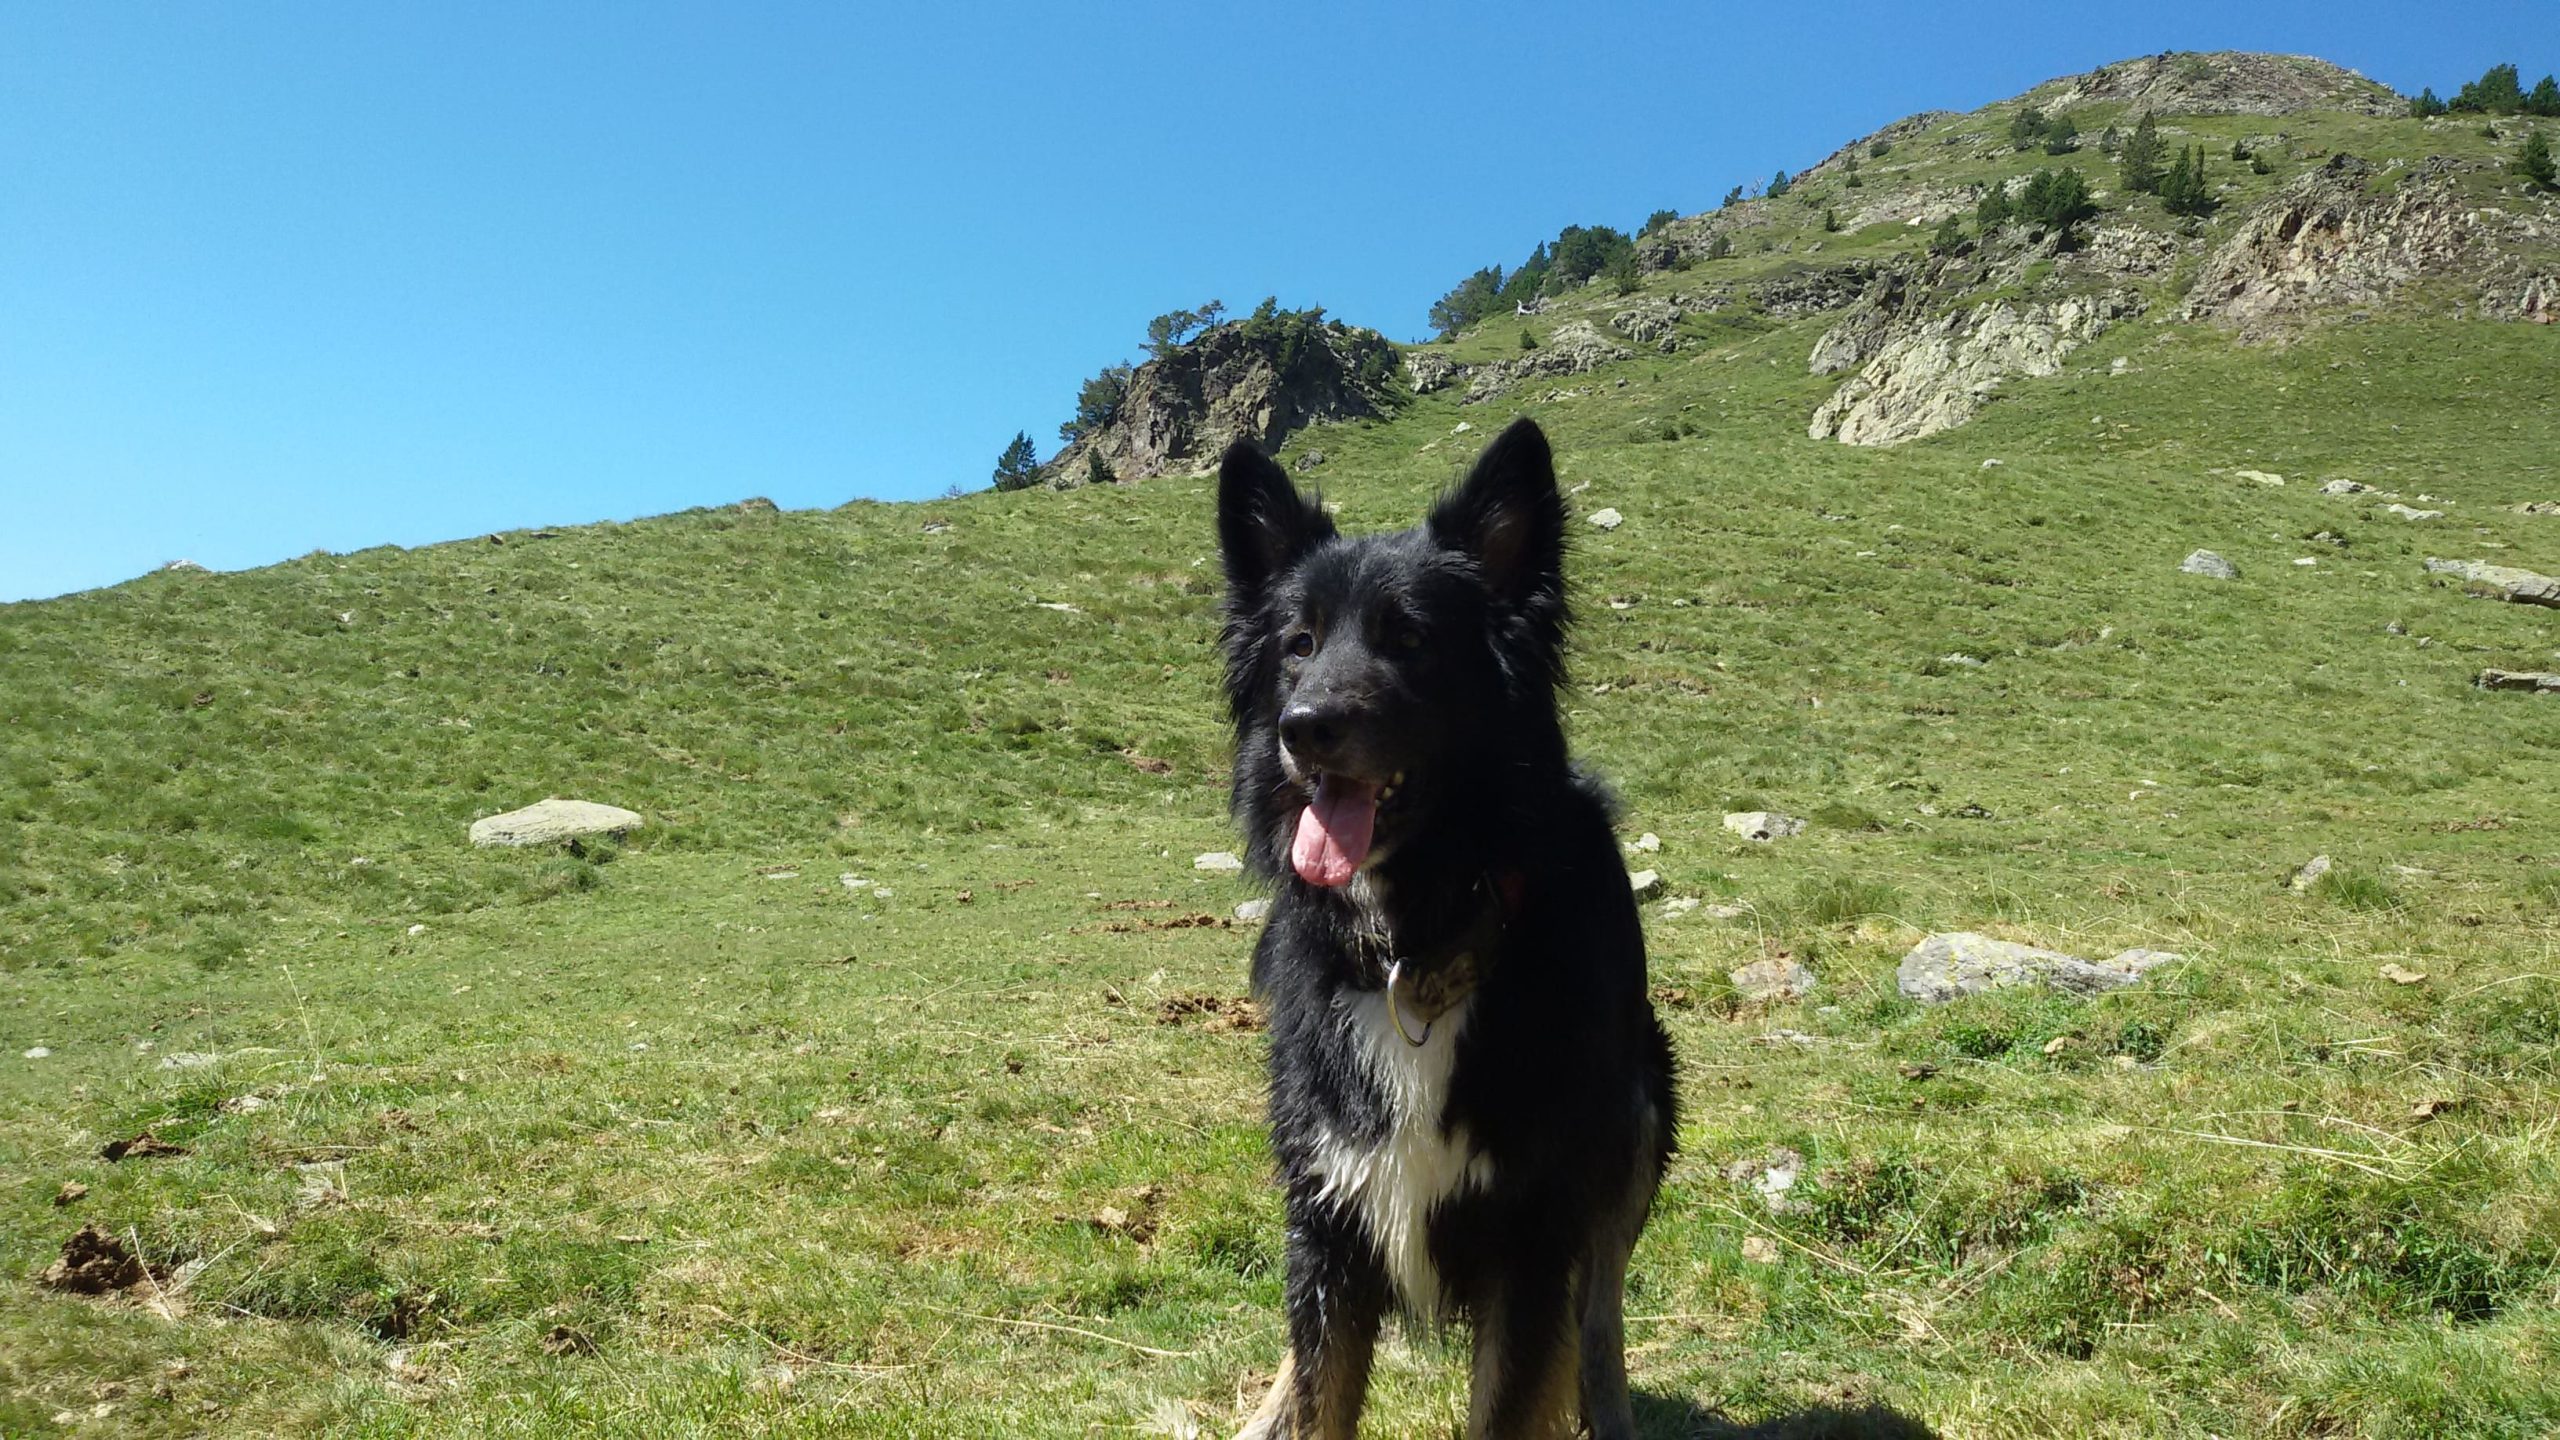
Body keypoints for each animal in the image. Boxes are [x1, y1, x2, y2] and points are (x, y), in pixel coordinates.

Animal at [1218, 417, 1679, 1434]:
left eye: (1410, 640)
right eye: (1298, 644)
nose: (1303, 728)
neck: (1415, 943)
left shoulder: (1532, 1237)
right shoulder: (1330, 1210)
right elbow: (1318, 1391)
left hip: (1640, 1116)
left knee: (1602, 1310)